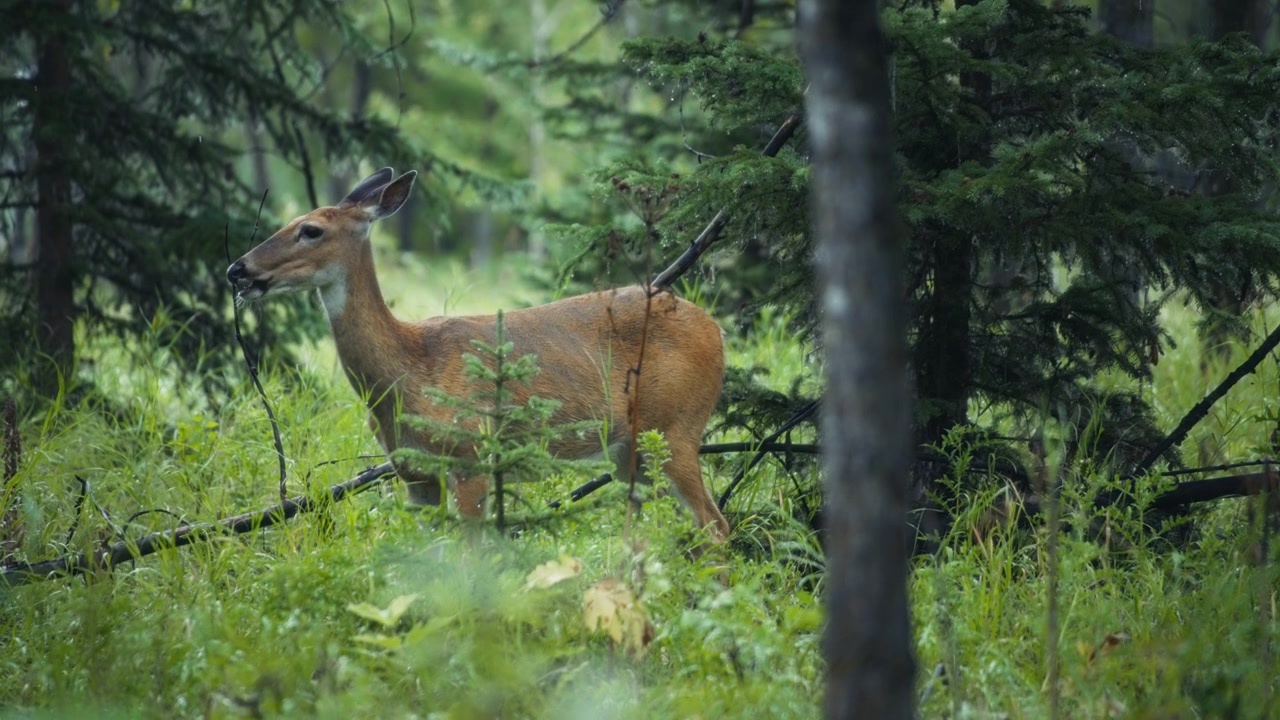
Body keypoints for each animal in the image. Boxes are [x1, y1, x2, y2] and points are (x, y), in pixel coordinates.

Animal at [226, 167, 731, 541]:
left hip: (676, 426)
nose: (238, 269)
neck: (407, 372)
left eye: (310, 230)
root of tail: (718, 331)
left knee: (715, 526)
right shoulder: (414, 474)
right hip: (630, 452)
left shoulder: (472, 455)